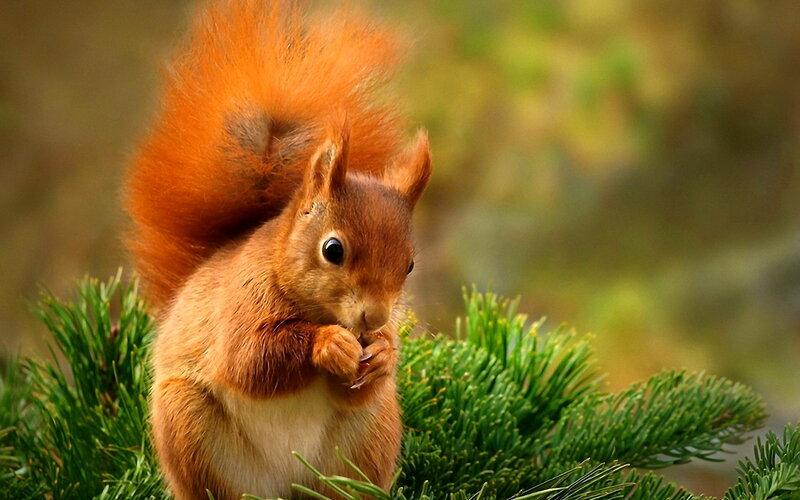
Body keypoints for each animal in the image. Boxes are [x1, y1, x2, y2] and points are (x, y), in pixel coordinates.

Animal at [124, 1, 431, 499]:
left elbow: (359, 384)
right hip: (189, 426)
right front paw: (328, 344)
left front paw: (384, 354)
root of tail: (288, 485)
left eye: (408, 265)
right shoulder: (240, 305)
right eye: (332, 249)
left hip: (369, 437)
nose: (375, 318)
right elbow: (250, 359)